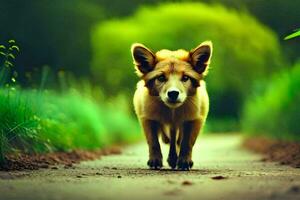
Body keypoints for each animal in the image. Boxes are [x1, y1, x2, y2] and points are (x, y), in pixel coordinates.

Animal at [132, 41, 213, 170]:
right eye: (161, 77)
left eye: (185, 78)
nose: (173, 93)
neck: (172, 112)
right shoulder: (147, 118)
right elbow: (153, 142)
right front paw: (155, 161)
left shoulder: (195, 119)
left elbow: (186, 143)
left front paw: (184, 161)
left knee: (177, 139)